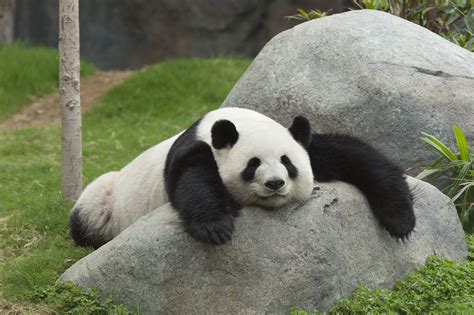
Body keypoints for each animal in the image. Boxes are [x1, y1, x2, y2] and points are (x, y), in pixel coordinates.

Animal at [70, 108, 414, 249]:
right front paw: (216, 227)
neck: (239, 121)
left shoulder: (303, 143)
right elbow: (192, 180)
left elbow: (358, 157)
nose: (275, 183)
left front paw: (400, 221)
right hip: (108, 200)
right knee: (89, 213)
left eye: (287, 164)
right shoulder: (196, 149)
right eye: (253, 165)